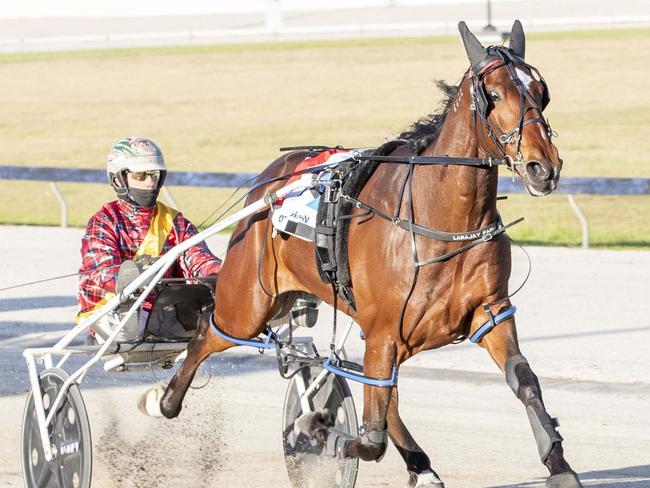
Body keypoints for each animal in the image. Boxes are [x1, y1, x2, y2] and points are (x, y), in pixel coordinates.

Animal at [158, 21, 584, 486]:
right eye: (493, 94)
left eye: (541, 91)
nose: (543, 168)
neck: (440, 218)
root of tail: (270, 178)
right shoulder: (383, 332)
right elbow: (370, 435)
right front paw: (321, 429)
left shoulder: (489, 312)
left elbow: (524, 380)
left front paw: (559, 464)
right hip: (249, 303)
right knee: (207, 330)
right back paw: (165, 400)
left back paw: (421, 465)